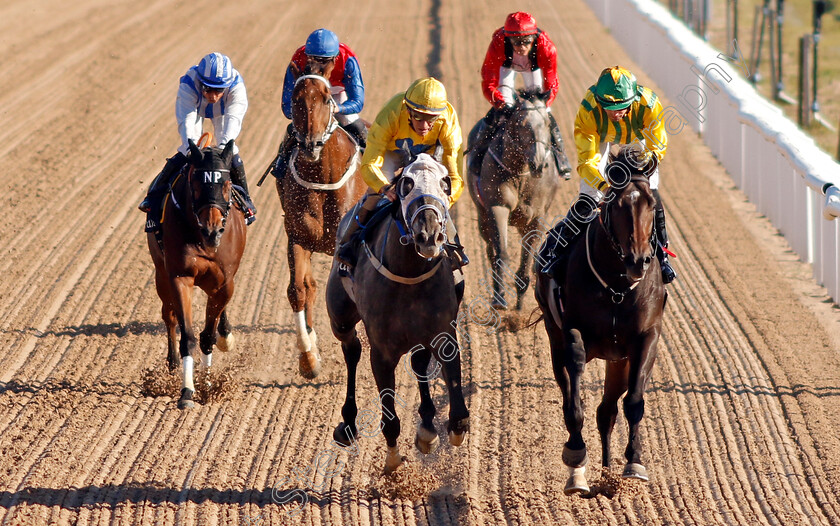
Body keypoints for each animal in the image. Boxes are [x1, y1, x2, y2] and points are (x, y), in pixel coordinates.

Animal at [147, 138, 246, 410]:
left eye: (226, 184)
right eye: (197, 183)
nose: (212, 230)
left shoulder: (225, 283)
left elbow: (208, 336)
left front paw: (208, 384)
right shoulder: (180, 277)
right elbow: (188, 337)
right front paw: (187, 391)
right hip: (161, 275)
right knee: (169, 317)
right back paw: (172, 365)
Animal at [278, 73, 366, 380]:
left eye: (327, 99)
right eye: (295, 98)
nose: (311, 145)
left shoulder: (343, 244)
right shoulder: (297, 238)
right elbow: (297, 290)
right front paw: (308, 358)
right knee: (309, 286)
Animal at [324, 154, 470, 478]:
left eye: (445, 182)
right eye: (406, 183)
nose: (429, 234)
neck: (410, 275)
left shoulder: (443, 334)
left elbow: (457, 405)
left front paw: (447, 429)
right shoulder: (381, 352)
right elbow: (389, 416)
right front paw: (392, 461)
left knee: (418, 363)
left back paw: (427, 428)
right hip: (340, 316)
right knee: (351, 350)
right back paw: (348, 422)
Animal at [536, 146, 668, 498]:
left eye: (651, 204)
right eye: (615, 204)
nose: (638, 261)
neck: (617, 287)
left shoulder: (646, 338)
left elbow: (634, 401)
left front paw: (634, 464)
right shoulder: (570, 333)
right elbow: (573, 403)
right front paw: (575, 457)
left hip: (618, 360)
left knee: (606, 411)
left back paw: (609, 476)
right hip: (555, 339)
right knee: (577, 397)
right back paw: (583, 475)